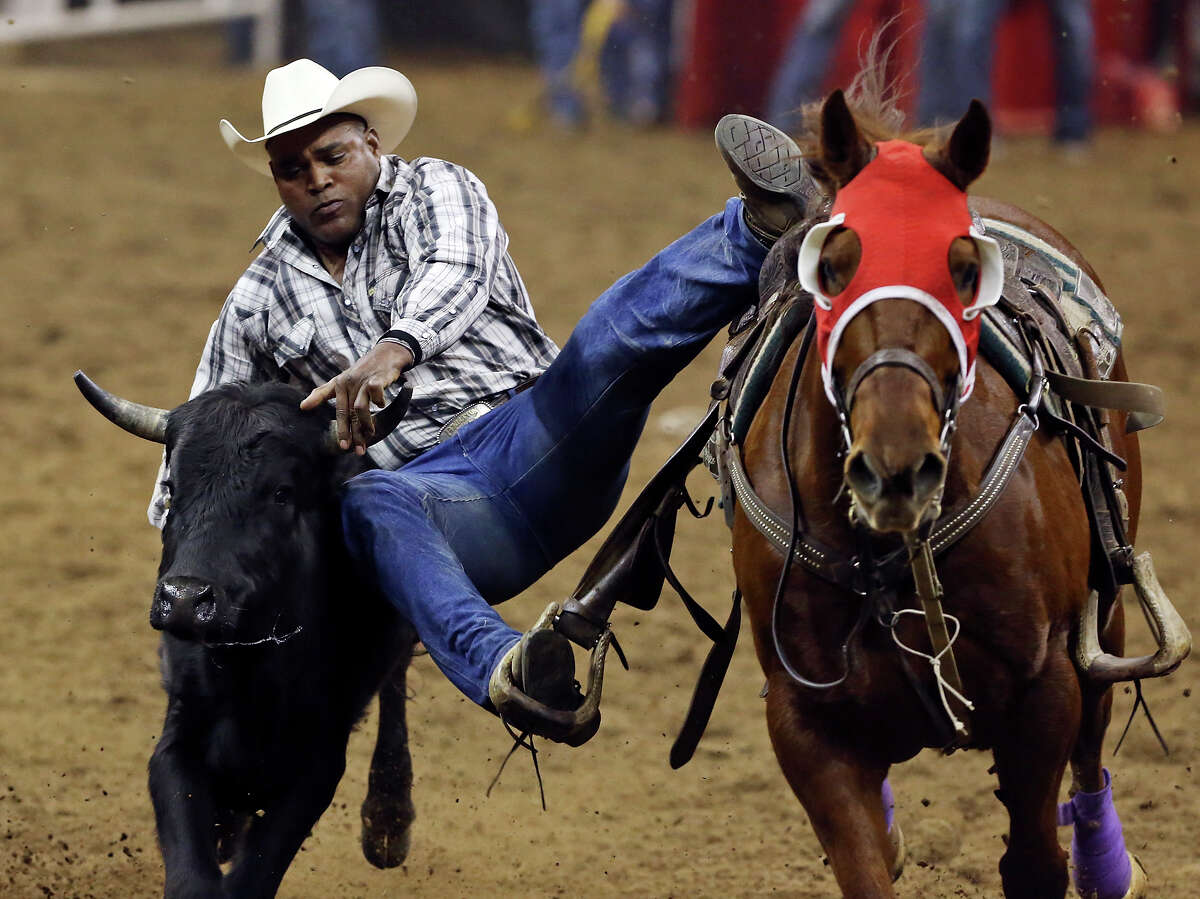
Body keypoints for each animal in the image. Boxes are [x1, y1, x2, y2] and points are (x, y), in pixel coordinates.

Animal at [729, 87, 1190, 892]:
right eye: (835, 265)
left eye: (965, 269)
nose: (896, 466)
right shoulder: (804, 719)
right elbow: (864, 867)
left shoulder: (1046, 684)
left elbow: (1035, 858)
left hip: (1106, 613)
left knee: (1094, 742)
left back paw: (1108, 868)